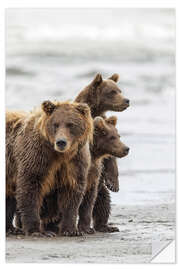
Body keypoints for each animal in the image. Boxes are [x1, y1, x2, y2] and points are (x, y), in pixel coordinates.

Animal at [5, 101, 93, 236]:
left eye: (70, 124)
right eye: (55, 124)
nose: (61, 142)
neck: (59, 155)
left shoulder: (74, 163)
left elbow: (71, 194)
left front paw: (71, 230)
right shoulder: (36, 156)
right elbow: (30, 187)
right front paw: (36, 230)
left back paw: (11, 228)